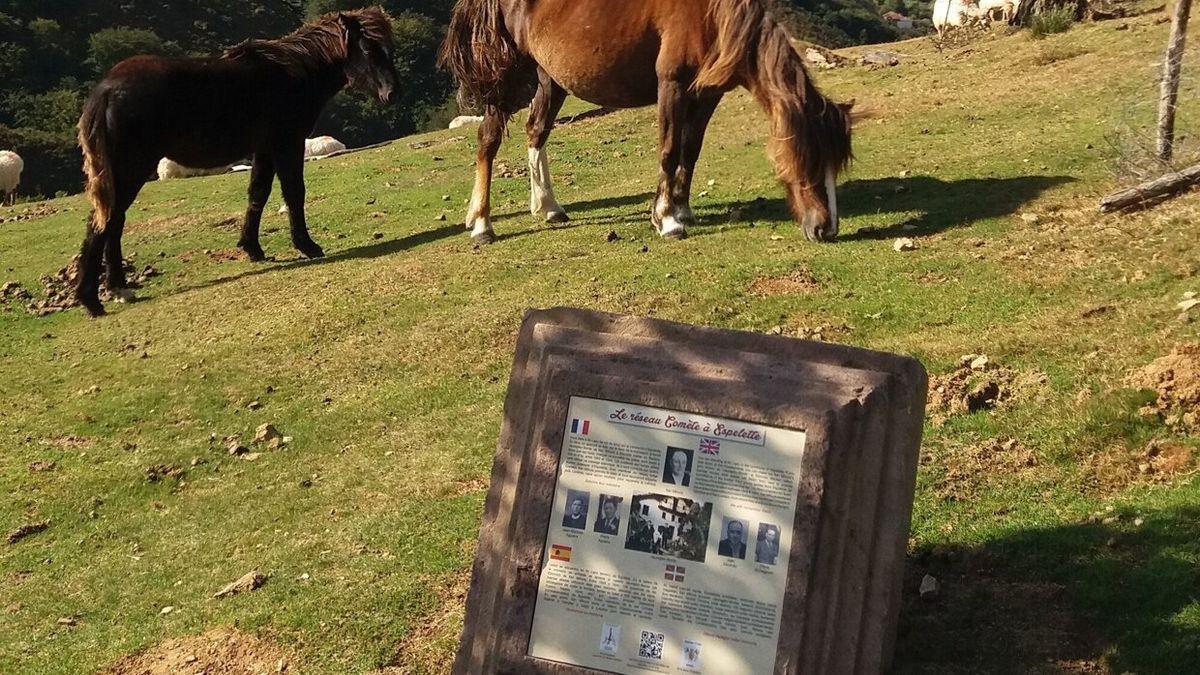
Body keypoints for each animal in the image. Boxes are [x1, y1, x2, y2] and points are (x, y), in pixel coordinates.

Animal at [77, 6, 400, 314]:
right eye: (367, 49)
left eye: (390, 49)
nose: (391, 93)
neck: (293, 72)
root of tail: (106, 89)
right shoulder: (287, 144)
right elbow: (294, 193)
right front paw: (307, 245)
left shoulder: (265, 149)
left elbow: (258, 194)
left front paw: (252, 247)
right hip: (130, 169)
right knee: (104, 223)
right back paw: (92, 299)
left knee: (113, 221)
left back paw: (118, 288)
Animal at [441, 0, 854, 243]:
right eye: (810, 159)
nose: (826, 228)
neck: (709, 15)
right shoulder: (672, 84)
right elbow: (669, 150)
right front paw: (667, 219)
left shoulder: (707, 95)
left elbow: (690, 150)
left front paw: (681, 207)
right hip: (505, 81)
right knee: (488, 140)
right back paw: (482, 225)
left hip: (551, 79)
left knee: (536, 132)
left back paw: (549, 207)